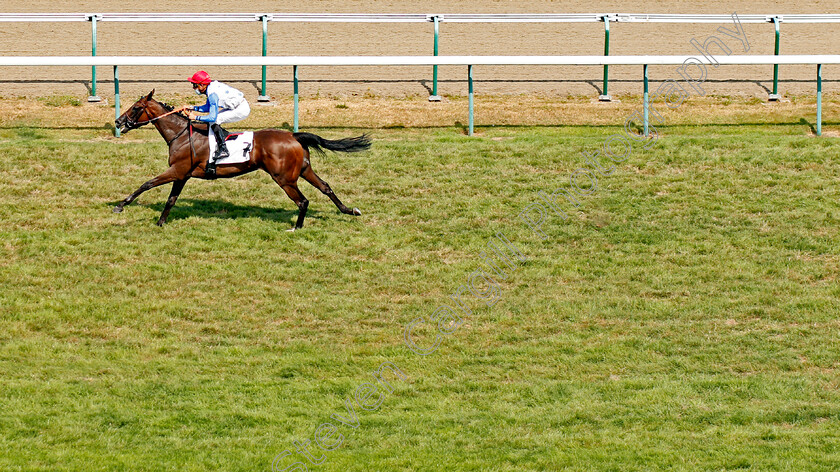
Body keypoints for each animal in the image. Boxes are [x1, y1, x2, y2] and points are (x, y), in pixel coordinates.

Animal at [113, 89, 370, 230]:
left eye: (135, 107)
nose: (118, 121)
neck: (182, 135)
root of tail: (293, 135)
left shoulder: (177, 171)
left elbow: (146, 184)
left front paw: (121, 205)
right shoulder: (182, 175)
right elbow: (171, 200)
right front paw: (160, 222)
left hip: (285, 178)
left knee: (303, 201)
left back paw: (296, 227)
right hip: (304, 170)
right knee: (326, 187)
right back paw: (350, 210)